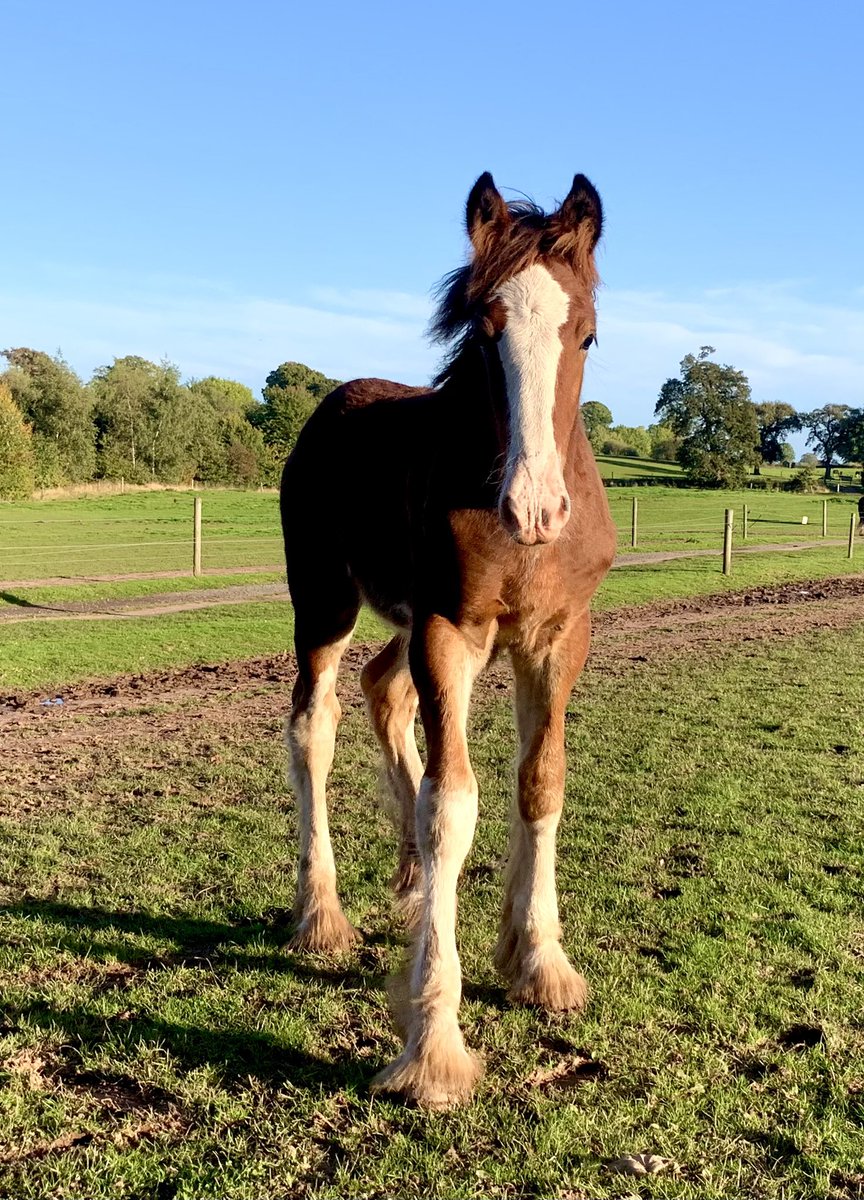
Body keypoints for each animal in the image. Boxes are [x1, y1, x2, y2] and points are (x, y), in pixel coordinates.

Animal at [280, 171, 616, 1108]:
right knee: (313, 727)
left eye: (586, 332)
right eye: (485, 331)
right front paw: (433, 1045)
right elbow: (451, 807)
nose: (534, 507)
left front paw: (540, 962)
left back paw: (401, 879)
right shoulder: (447, 633)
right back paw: (321, 913)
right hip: (326, 605)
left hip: (398, 622)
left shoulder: (557, 638)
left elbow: (540, 783)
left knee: (382, 691)